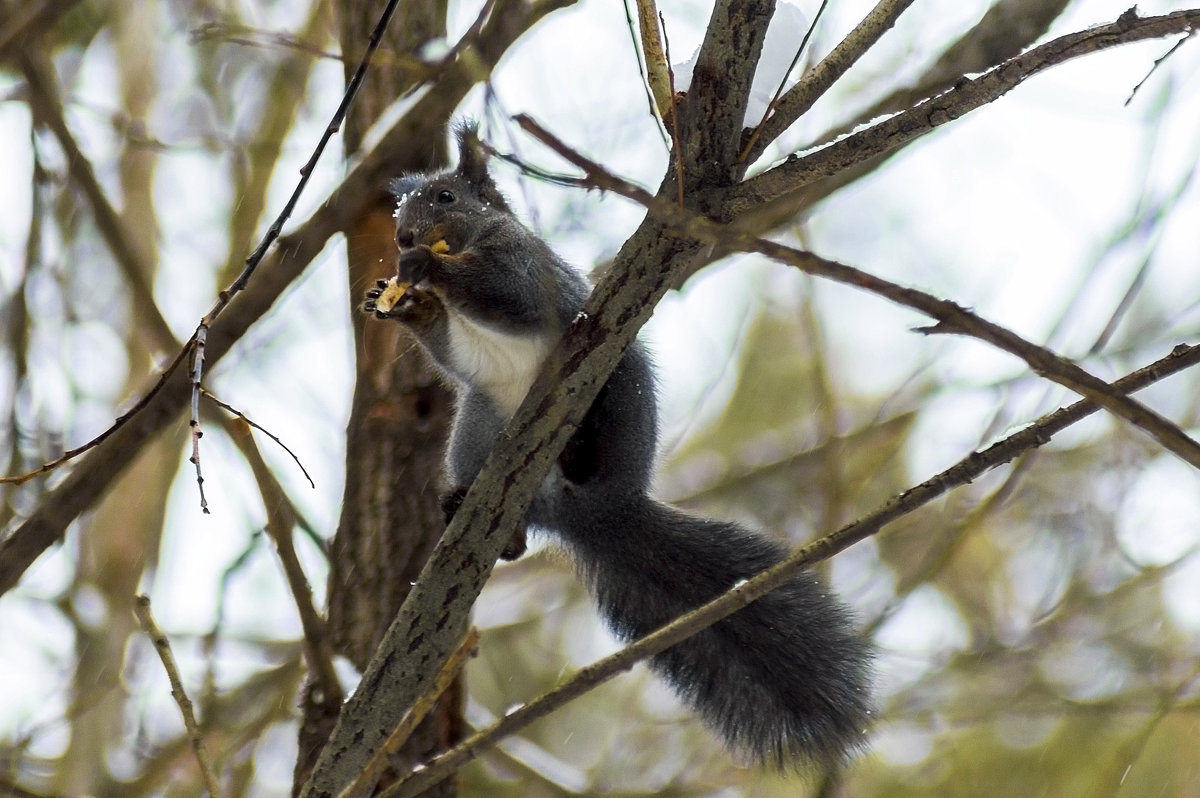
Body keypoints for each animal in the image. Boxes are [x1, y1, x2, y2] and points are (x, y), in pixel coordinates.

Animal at [357, 123, 873, 768]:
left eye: (446, 197)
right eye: (399, 209)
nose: (402, 237)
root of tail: (597, 514)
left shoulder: (528, 269)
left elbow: (506, 297)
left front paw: (425, 268)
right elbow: (452, 351)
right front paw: (407, 303)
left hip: (622, 383)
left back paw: (580, 452)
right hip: (476, 426)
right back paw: (478, 513)